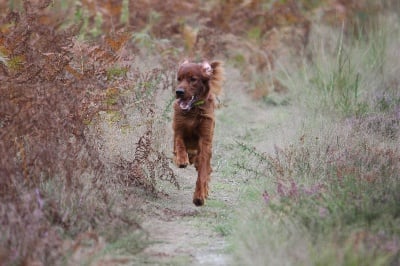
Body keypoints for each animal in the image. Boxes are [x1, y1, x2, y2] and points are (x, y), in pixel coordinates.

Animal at [173, 59, 225, 206]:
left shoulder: (205, 140)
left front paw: (199, 197)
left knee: (207, 169)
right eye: (179, 79)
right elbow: (179, 143)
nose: (178, 91)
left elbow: (203, 172)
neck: (192, 111)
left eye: (193, 79)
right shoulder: (177, 130)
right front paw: (182, 159)